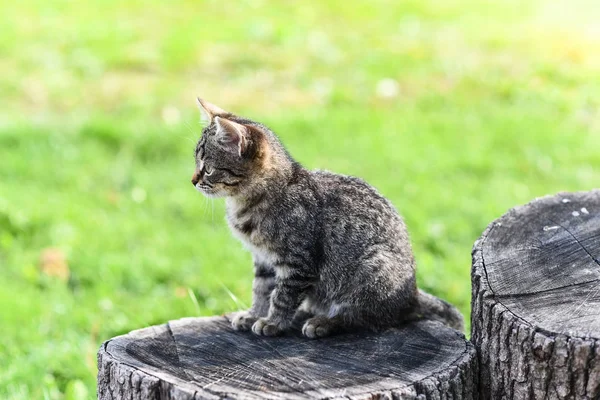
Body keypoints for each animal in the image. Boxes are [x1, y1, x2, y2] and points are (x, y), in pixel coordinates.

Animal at [192, 97, 464, 338]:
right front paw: (254, 314)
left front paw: (273, 322)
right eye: (197, 163)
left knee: (365, 317)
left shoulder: (298, 263)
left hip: (373, 268)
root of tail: (413, 293)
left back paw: (324, 322)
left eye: (208, 168)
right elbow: (261, 290)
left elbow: (282, 297)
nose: (193, 180)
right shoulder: (263, 260)